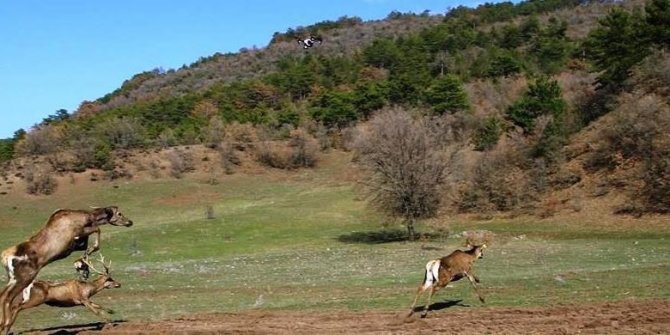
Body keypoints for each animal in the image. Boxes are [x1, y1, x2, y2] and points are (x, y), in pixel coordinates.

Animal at [0, 207, 133, 334]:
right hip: (26, 280)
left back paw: (5, 326)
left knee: (7, 298)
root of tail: (5, 257)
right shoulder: (79, 232)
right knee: (8, 299)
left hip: (16, 280)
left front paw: (82, 264)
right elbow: (97, 232)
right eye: (119, 213)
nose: (130, 222)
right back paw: (5, 325)